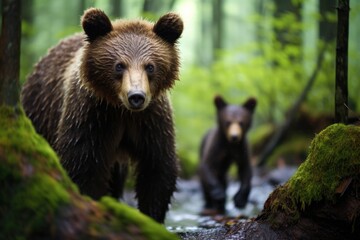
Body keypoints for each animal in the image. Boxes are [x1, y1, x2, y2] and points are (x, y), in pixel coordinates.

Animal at [20, 7, 183, 223]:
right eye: (119, 65)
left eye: (150, 66)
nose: (136, 96)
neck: (122, 110)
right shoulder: (92, 116)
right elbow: (82, 165)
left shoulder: (151, 120)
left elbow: (157, 167)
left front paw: (151, 217)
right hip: (41, 113)